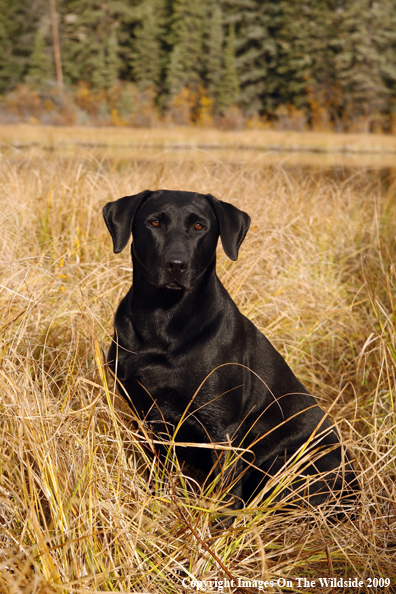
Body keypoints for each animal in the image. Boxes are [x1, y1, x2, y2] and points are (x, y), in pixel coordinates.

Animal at [103, 190, 358, 512]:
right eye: (155, 222)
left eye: (199, 226)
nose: (177, 264)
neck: (163, 320)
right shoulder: (144, 416)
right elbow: (159, 471)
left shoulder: (222, 429)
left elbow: (225, 495)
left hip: (289, 461)